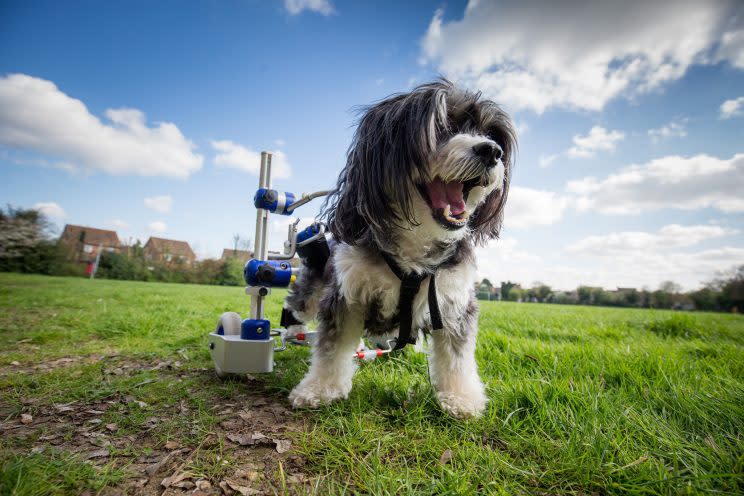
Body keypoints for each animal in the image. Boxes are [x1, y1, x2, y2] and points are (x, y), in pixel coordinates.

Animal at [282, 81, 516, 418]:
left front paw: (460, 398)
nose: (493, 151)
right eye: (442, 126)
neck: (415, 245)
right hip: (312, 282)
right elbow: (331, 348)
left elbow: (457, 356)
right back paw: (292, 331)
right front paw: (319, 389)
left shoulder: (454, 301)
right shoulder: (345, 295)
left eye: (490, 133)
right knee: (298, 304)